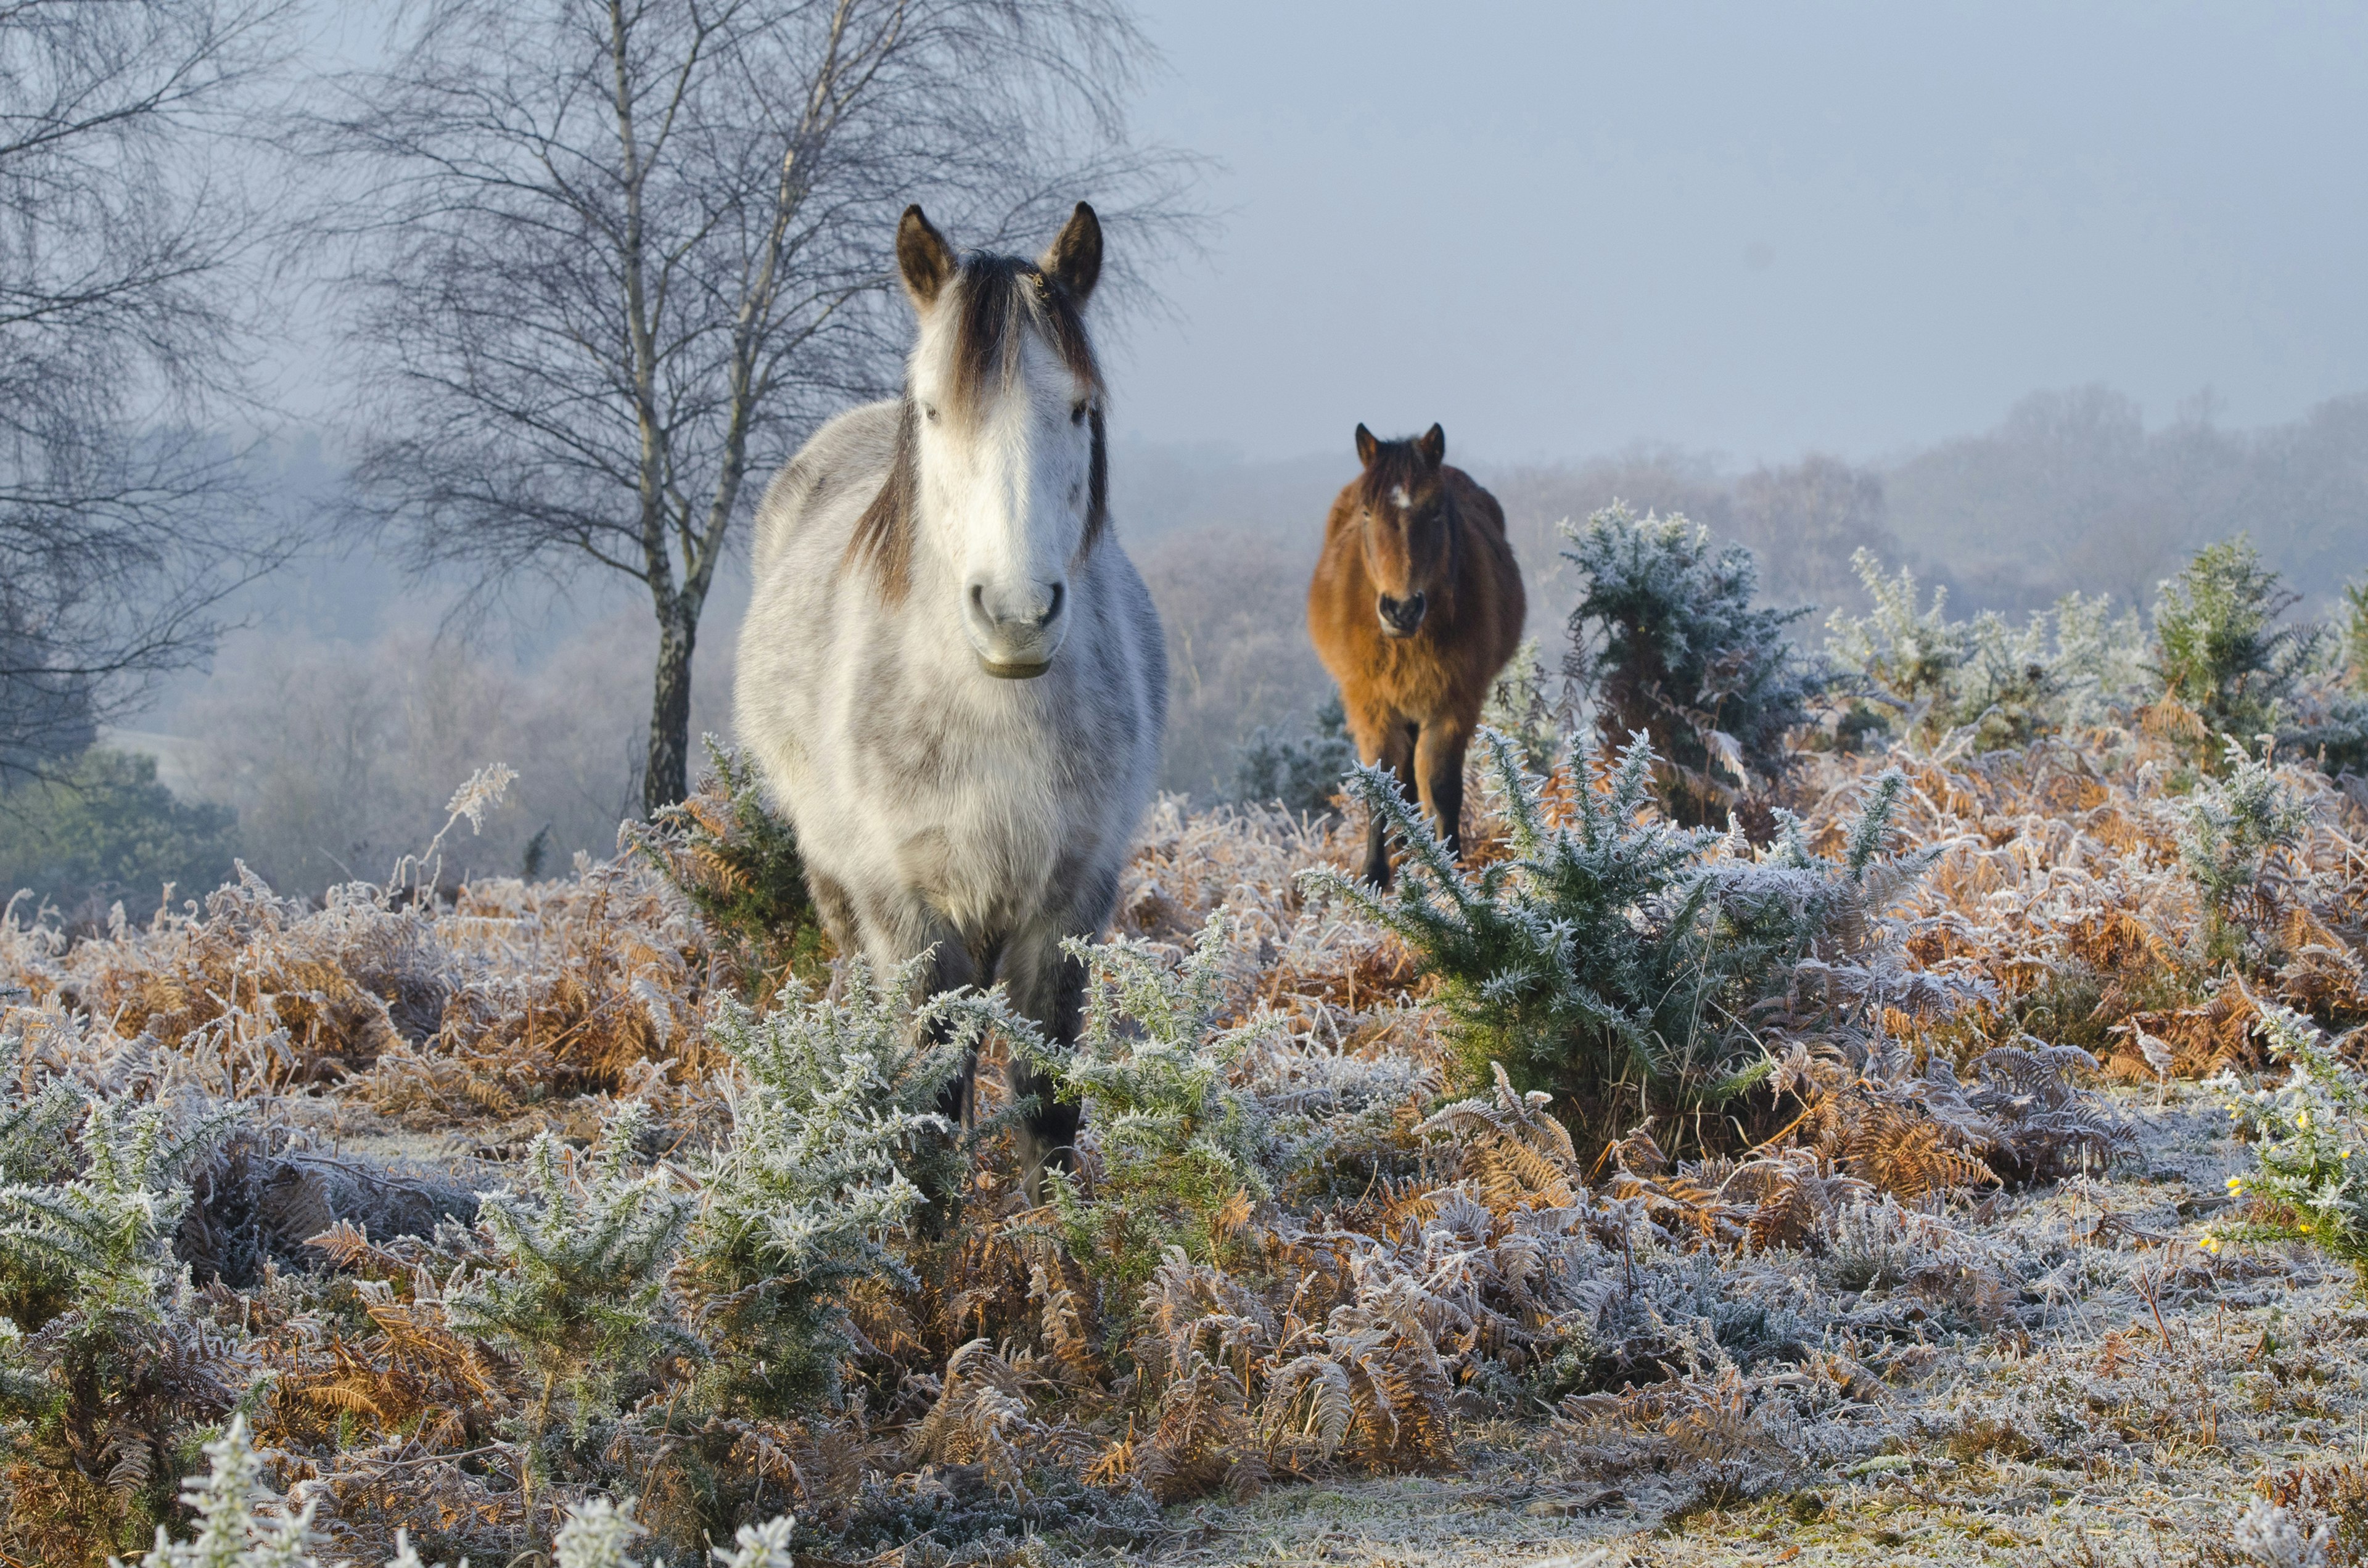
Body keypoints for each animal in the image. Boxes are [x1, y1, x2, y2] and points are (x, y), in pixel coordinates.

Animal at [734, 202, 1166, 1192]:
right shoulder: (910, 912)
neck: (994, 719)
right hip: (839, 886)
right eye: (934, 410)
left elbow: (1047, 1102)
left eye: (1079, 408)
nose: (1016, 615)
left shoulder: (1069, 904)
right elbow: (928, 1102)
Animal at [1307, 422, 1525, 888]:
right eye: (1367, 513)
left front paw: (1450, 868)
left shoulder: (1454, 704)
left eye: (1435, 511)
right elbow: (1381, 785)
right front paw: (1374, 875)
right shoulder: (1370, 706)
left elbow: (1442, 786)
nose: (1401, 609)